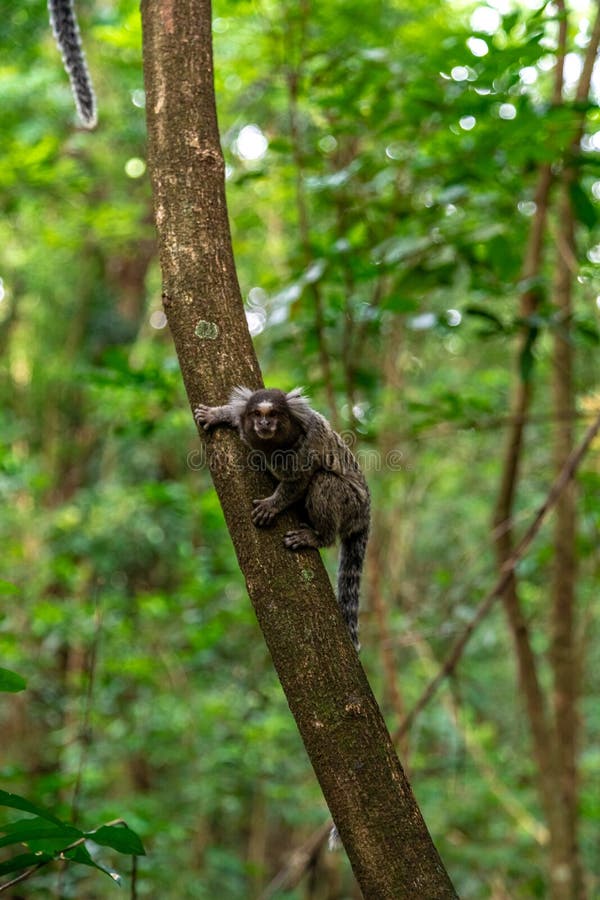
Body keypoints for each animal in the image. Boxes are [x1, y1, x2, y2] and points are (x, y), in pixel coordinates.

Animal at [195, 386, 368, 648]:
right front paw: (219, 414)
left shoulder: (306, 448)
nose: (264, 424)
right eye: (257, 414)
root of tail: (365, 512)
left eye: (274, 414)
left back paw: (318, 537)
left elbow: (298, 481)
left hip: (351, 504)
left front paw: (271, 506)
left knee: (323, 481)